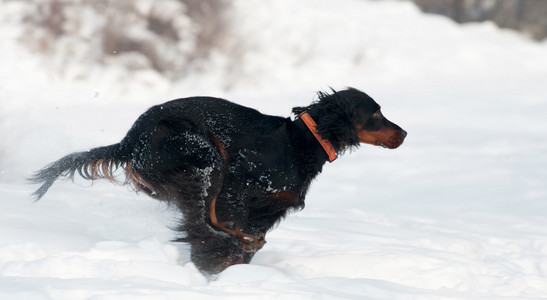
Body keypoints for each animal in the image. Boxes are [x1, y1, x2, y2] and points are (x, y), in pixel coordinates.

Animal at [30, 88, 406, 276]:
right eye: (375, 112)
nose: (403, 133)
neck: (301, 144)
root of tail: (129, 141)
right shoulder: (241, 188)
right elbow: (223, 229)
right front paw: (213, 264)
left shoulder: (266, 211)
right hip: (204, 155)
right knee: (207, 219)